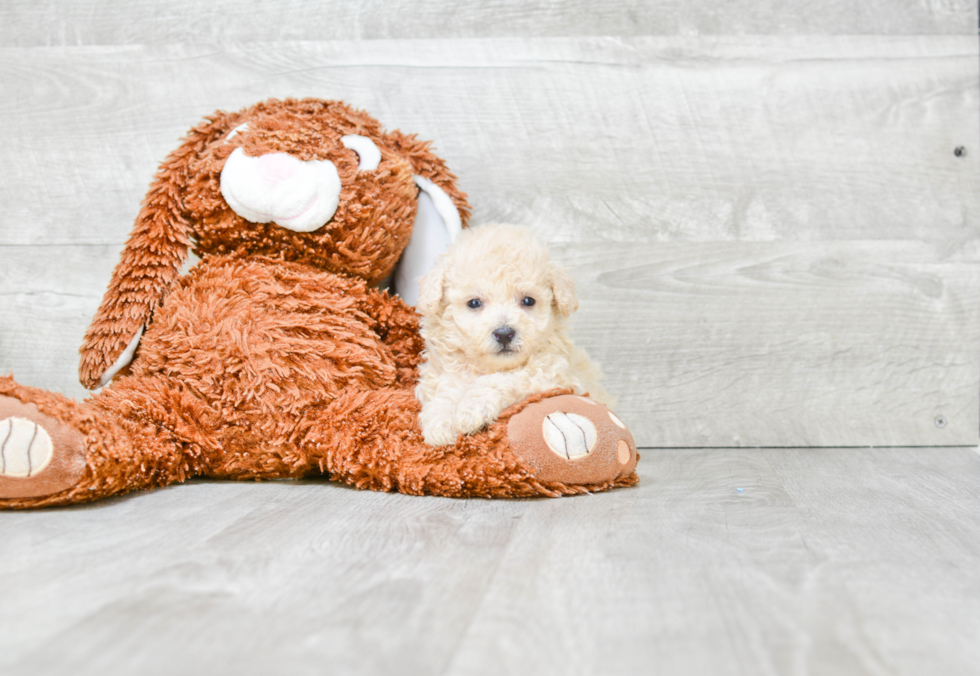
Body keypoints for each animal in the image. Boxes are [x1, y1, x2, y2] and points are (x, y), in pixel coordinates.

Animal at [414, 224, 612, 448]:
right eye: (474, 303)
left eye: (528, 300)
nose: (504, 334)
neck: (487, 367)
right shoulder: (444, 371)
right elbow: (446, 389)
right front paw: (440, 423)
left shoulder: (551, 373)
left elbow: (503, 380)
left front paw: (471, 409)